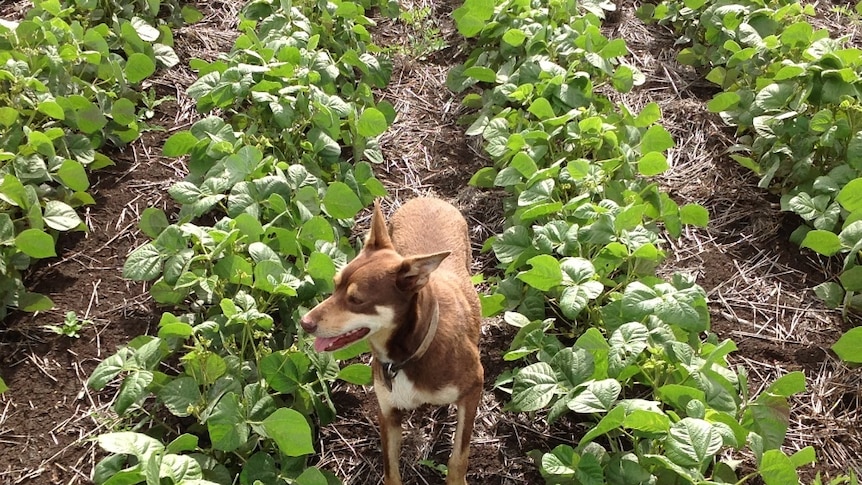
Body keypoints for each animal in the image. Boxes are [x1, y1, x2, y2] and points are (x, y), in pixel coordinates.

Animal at [300, 198, 482, 484]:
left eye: (356, 300)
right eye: (335, 285)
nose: (304, 322)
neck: (408, 353)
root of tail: (428, 198)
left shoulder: (474, 388)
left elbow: (458, 458)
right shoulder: (387, 413)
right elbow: (391, 470)